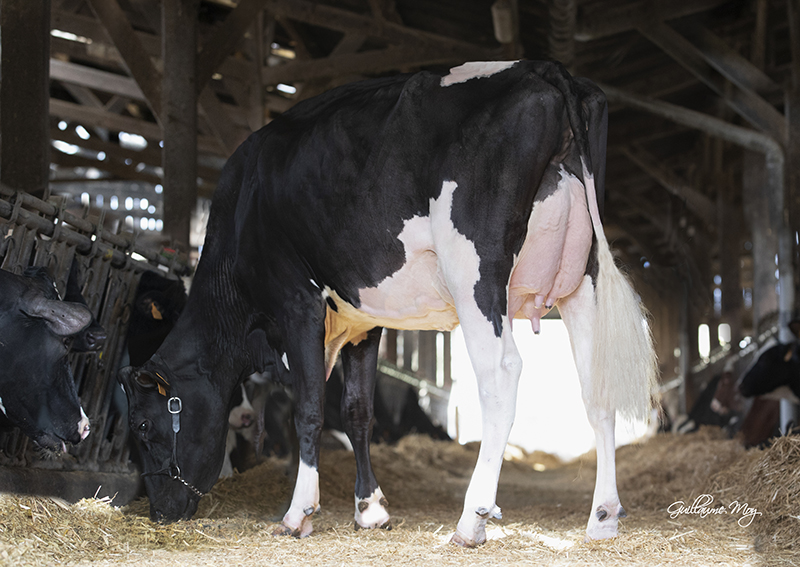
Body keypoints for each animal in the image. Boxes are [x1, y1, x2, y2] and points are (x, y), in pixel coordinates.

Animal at [119, 61, 656, 544]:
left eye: (144, 426)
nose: (161, 513)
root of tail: (543, 69)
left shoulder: (298, 303)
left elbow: (309, 408)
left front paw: (298, 514)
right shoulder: (363, 318)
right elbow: (358, 411)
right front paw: (371, 510)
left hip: (475, 272)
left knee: (501, 374)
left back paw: (472, 520)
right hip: (581, 279)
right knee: (596, 385)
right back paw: (602, 517)